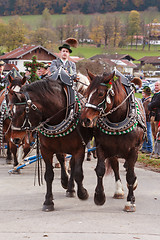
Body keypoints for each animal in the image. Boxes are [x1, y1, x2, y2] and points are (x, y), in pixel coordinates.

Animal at [8, 78, 93, 211]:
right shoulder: (46, 150)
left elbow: (78, 173)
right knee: (62, 160)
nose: (14, 139)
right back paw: (65, 182)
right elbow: (48, 175)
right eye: (11, 112)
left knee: (72, 165)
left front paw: (83, 193)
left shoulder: (79, 149)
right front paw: (48, 201)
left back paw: (71, 188)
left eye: (22, 112)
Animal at [80, 70, 146, 212]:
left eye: (100, 93)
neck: (117, 120)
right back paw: (119, 191)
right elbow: (100, 169)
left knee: (129, 168)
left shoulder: (133, 150)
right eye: (87, 93)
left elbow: (130, 175)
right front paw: (99, 196)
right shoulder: (101, 147)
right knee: (116, 167)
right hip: (114, 151)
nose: (85, 120)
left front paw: (130, 202)